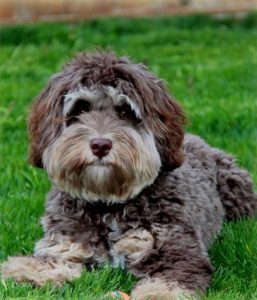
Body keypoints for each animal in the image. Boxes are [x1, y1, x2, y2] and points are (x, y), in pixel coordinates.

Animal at [2, 52, 256, 300]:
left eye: (125, 111)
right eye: (80, 109)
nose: (100, 145)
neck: (107, 204)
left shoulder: (173, 247)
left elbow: (171, 278)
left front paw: (157, 293)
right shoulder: (67, 240)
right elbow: (55, 259)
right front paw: (29, 270)